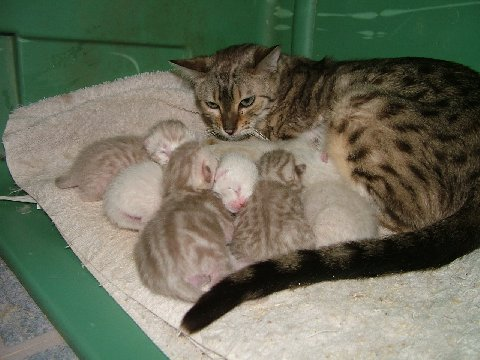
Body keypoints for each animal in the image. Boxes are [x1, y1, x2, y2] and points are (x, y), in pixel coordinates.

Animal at [134, 142, 235, 302]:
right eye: (214, 158)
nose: (218, 156)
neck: (183, 189)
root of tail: (171, 278)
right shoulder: (220, 211)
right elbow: (230, 230)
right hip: (217, 257)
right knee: (219, 275)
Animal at [170, 43, 480, 332]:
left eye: (246, 100)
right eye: (212, 104)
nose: (229, 128)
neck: (285, 86)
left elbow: (255, 145)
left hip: (360, 108)